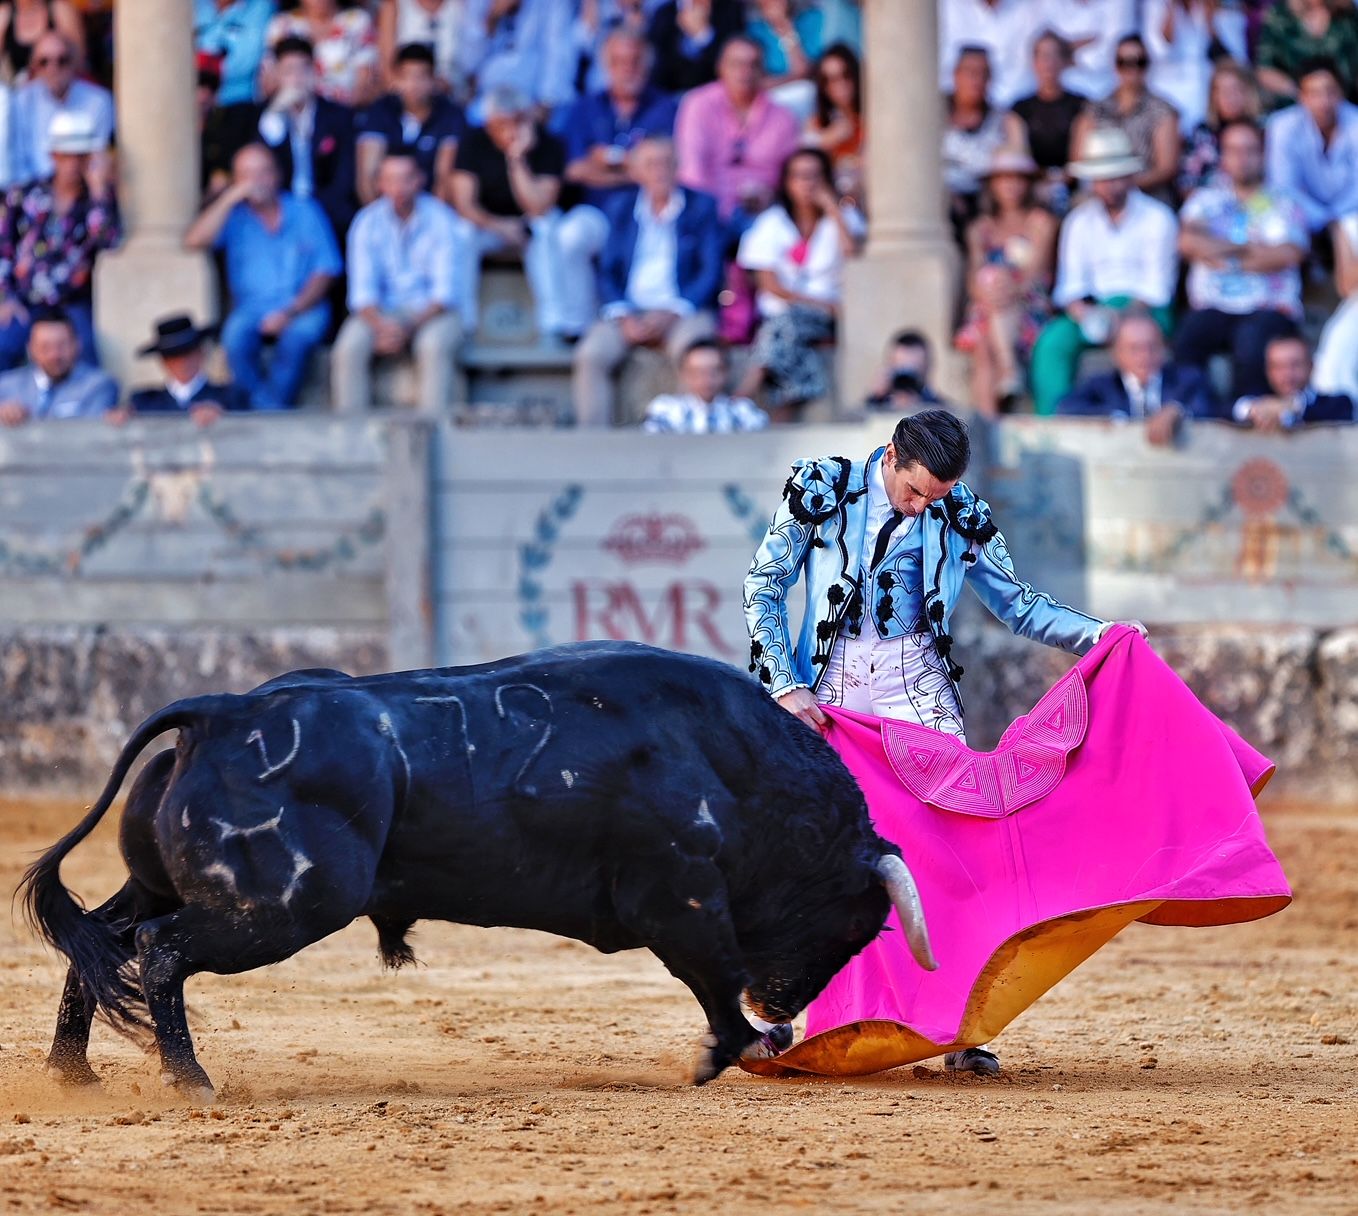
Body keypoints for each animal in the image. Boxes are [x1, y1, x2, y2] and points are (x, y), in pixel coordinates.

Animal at [21, 641, 934, 1097]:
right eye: (856, 923)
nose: (783, 1003)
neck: (734, 764)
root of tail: (221, 713)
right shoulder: (681, 896)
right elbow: (712, 974)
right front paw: (743, 1047)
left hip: (168, 885)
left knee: (100, 944)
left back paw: (74, 1073)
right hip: (283, 907)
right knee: (159, 951)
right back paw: (190, 1080)